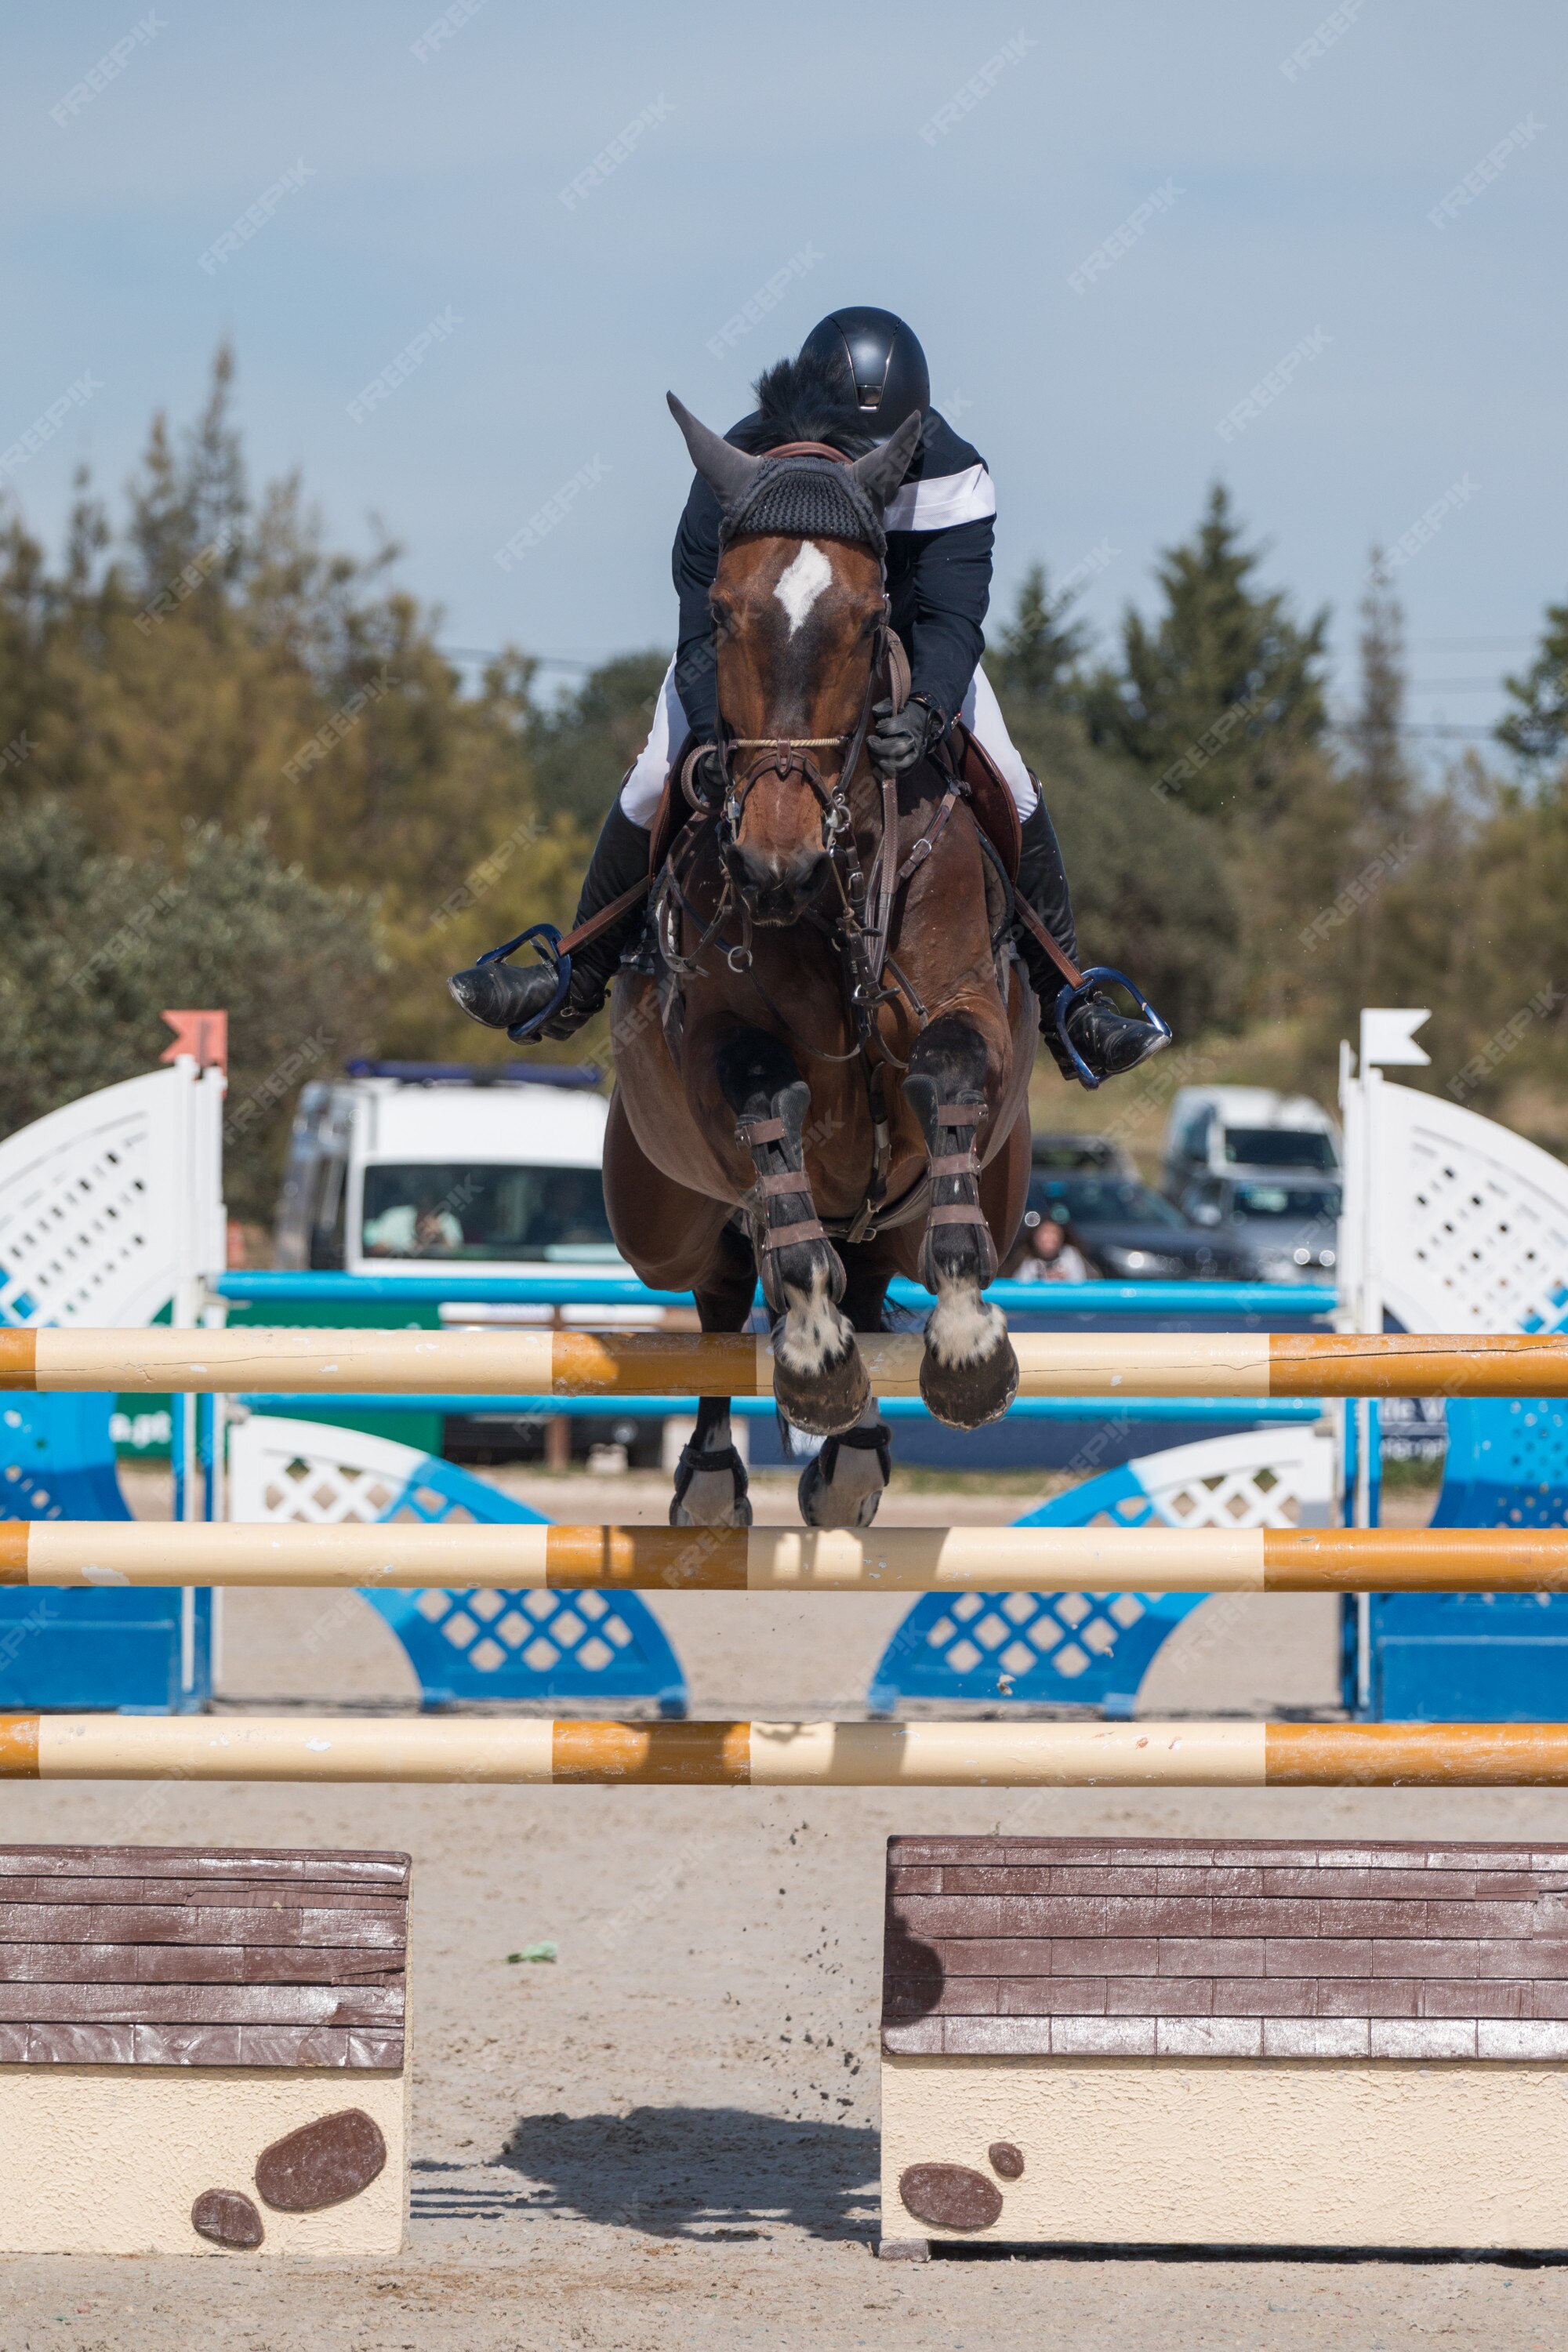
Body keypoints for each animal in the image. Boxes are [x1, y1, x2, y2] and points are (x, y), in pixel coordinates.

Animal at [606, 395, 1034, 1534]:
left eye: (867, 612)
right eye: (720, 614)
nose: (773, 861)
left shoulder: (964, 1002)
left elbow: (946, 1075)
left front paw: (968, 1344)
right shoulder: (720, 1043)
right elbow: (770, 1112)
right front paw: (812, 1358)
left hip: (978, 1190)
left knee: (877, 1266)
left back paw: (852, 1461)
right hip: (654, 1211)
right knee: (721, 1290)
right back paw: (719, 1473)